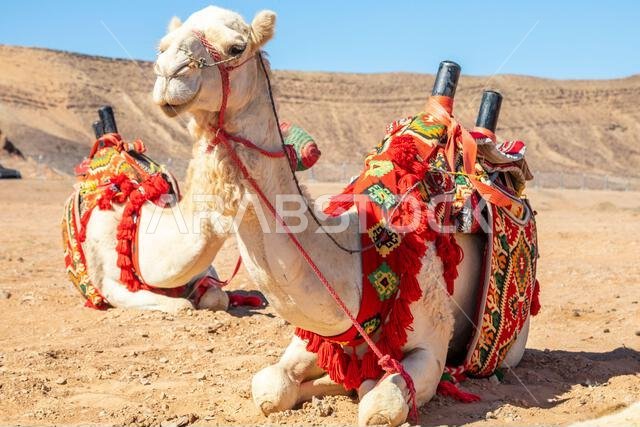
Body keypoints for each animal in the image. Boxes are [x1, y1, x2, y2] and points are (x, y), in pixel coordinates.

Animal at [153, 6, 532, 425]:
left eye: (236, 47)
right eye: (162, 45)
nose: (168, 72)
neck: (357, 256)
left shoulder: (431, 346)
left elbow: (378, 405)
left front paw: (361, 386)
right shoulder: (319, 339)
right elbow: (270, 388)